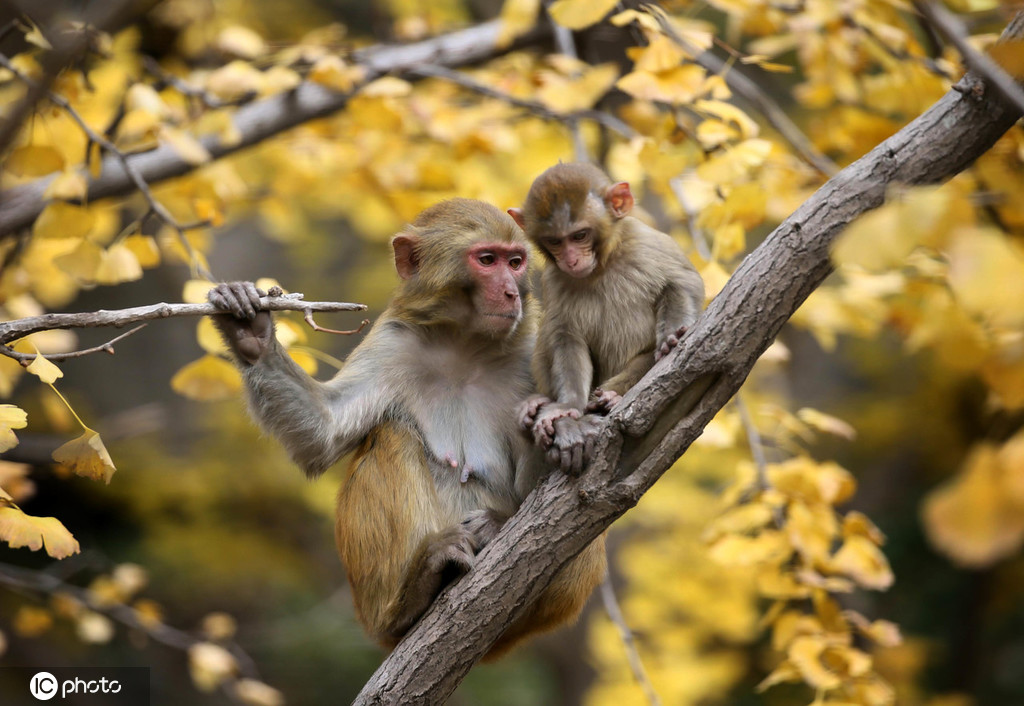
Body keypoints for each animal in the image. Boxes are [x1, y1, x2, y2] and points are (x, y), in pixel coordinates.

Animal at [208, 196, 606, 655]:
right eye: (487, 260)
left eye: (516, 262)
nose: (510, 292)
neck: (465, 345)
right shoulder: (394, 340)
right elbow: (323, 434)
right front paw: (250, 333)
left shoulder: (535, 344)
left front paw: (567, 432)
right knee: (391, 435)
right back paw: (412, 597)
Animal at [505, 162, 700, 471]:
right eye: (554, 241)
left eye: (580, 236)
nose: (571, 260)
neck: (602, 266)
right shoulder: (554, 279)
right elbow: (565, 335)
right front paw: (568, 405)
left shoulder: (645, 243)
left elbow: (681, 282)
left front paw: (672, 335)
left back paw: (611, 395)